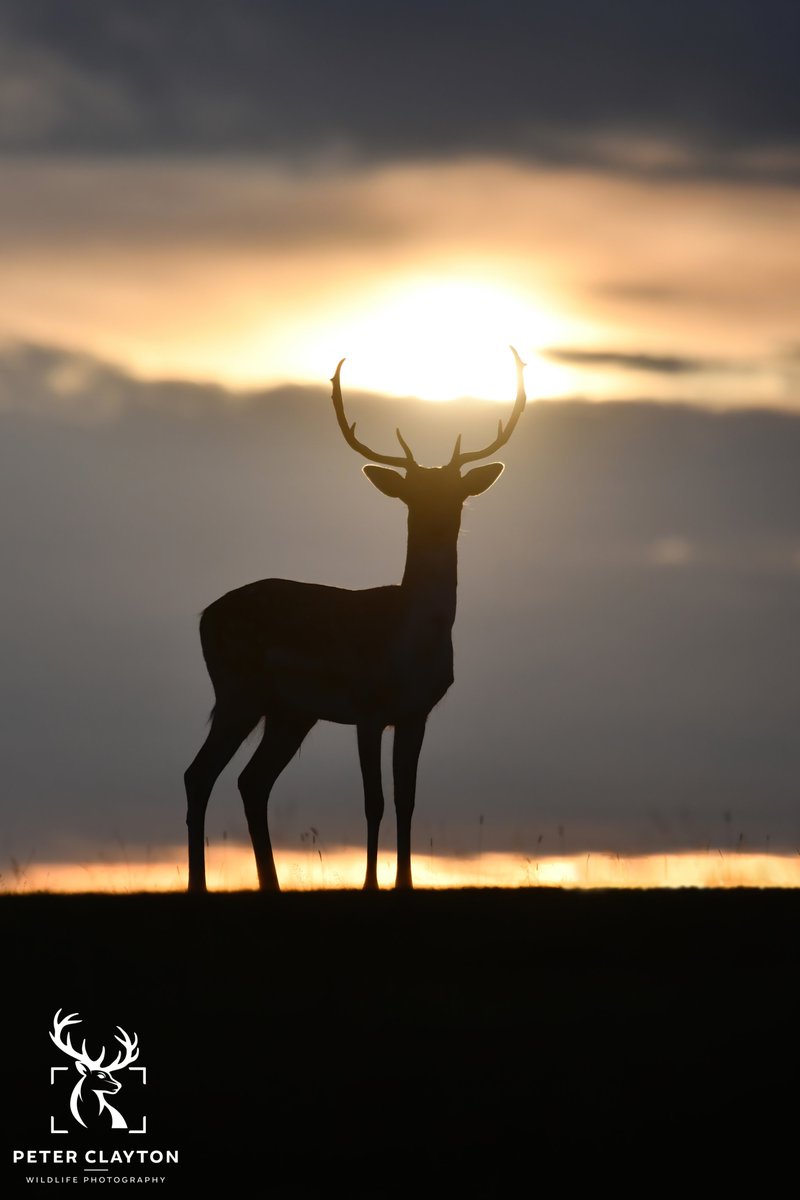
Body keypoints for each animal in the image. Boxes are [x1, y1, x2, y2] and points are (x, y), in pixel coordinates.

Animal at [184, 347, 527, 893]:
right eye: (412, 494)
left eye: (457, 493)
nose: (437, 521)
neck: (409, 645)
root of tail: (204, 616)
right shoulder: (367, 708)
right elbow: (374, 800)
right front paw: (370, 884)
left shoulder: (417, 712)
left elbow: (407, 799)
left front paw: (405, 883)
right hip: (238, 690)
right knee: (201, 774)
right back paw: (198, 884)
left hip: (289, 712)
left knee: (250, 780)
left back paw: (270, 885)